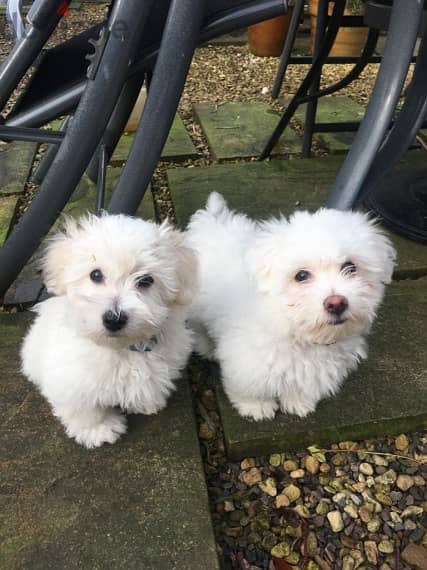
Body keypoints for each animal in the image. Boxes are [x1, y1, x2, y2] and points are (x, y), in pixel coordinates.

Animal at [21, 214, 197, 448]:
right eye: (95, 274)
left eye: (146, 280)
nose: (114, 319)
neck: (121, 348)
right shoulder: (71, 381)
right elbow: (85, 409)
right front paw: (98, 429)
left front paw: (147, 403)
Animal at [187, 193, 398, 420]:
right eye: (301, 276)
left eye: (350, 267)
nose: (337, 303)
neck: (296, 327)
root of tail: (212, 219)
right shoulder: (248, 359)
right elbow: (250, 386)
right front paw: (256, 406)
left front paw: (298, 402)